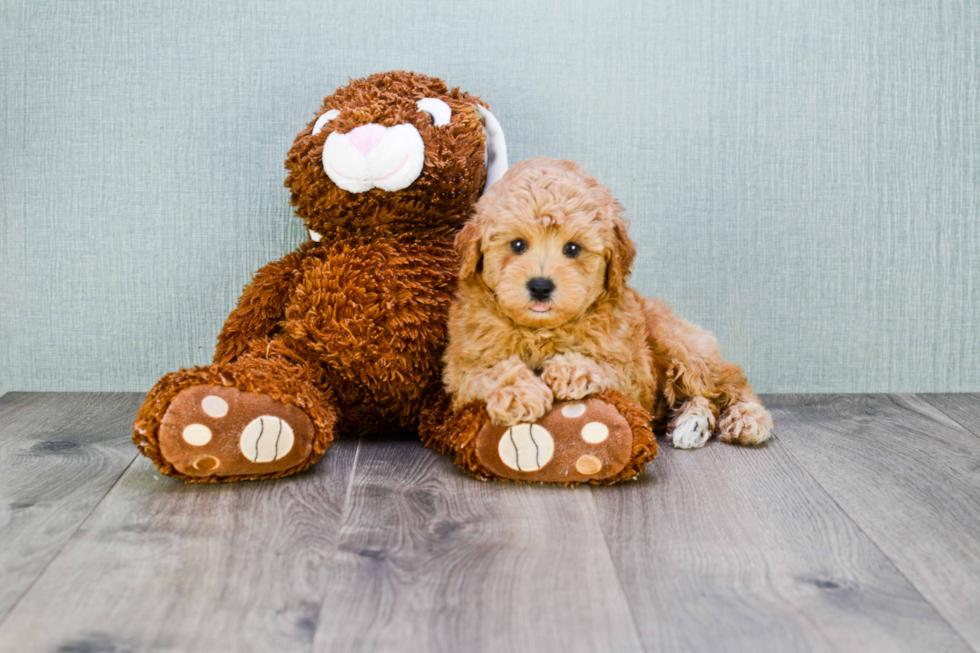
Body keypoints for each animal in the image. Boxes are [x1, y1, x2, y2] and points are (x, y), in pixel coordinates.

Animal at [444, 157, 772, 448]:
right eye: (517, 245)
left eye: (572, 249)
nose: (540, 286)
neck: (541, 331)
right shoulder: (461, 366)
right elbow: (488, 372)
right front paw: (519, 393)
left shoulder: (635, 375)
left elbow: (608, 367)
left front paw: (570, 370)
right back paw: (691, 423)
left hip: (678, 344)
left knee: (730, 382)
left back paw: (748, 419)